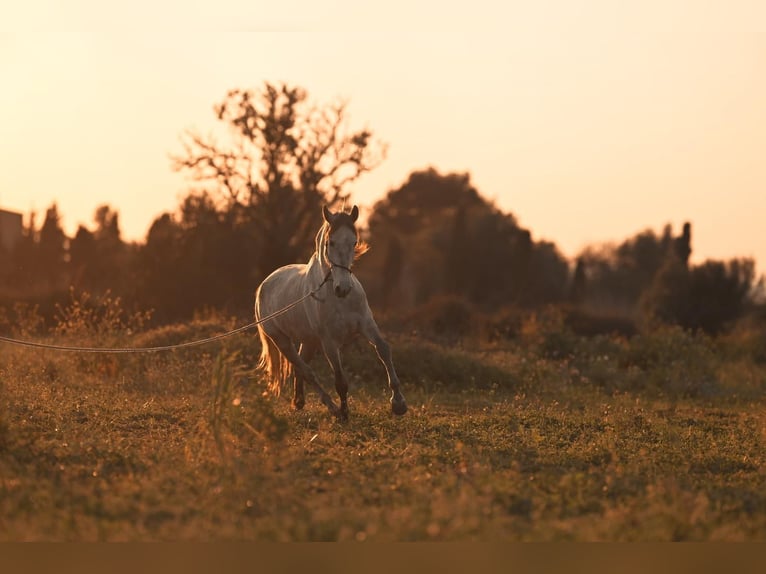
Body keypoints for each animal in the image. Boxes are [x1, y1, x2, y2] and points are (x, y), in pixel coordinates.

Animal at [254, 204, 408, 421]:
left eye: (354, 242)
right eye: (330, 242)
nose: (343, 288)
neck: (338, 299)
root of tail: (263, 285)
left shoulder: (367, 325)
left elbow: (384, 350)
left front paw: (399, 403)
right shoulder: (329, 342)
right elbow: (340, 380)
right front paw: (344, 413)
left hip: (309, 341)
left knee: (300, 367)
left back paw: (299, 401)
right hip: (281, 341)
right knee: (306, 371)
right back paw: (332, 408)